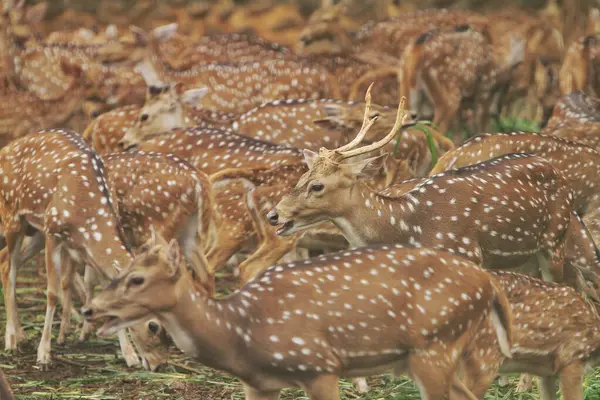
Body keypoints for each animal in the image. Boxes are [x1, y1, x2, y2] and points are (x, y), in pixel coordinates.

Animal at [0, 128, 165, 368]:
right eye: (153, 325)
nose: (160, 363)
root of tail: (5, 149)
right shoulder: (52, 230)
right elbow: (52, 293)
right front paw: (44, 354)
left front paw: (130, 356)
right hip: (12, 216)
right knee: (9, 269)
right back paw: (11, 339)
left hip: (34, 230)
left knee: (4, 260)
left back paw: (21, 335)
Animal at [84, 231, 512, 400]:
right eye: (120, 272)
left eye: (136, 278)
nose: (90, 309)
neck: (238, 332)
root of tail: (489, 282)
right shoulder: (258, 384)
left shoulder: (319, 365)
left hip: (436, 345)